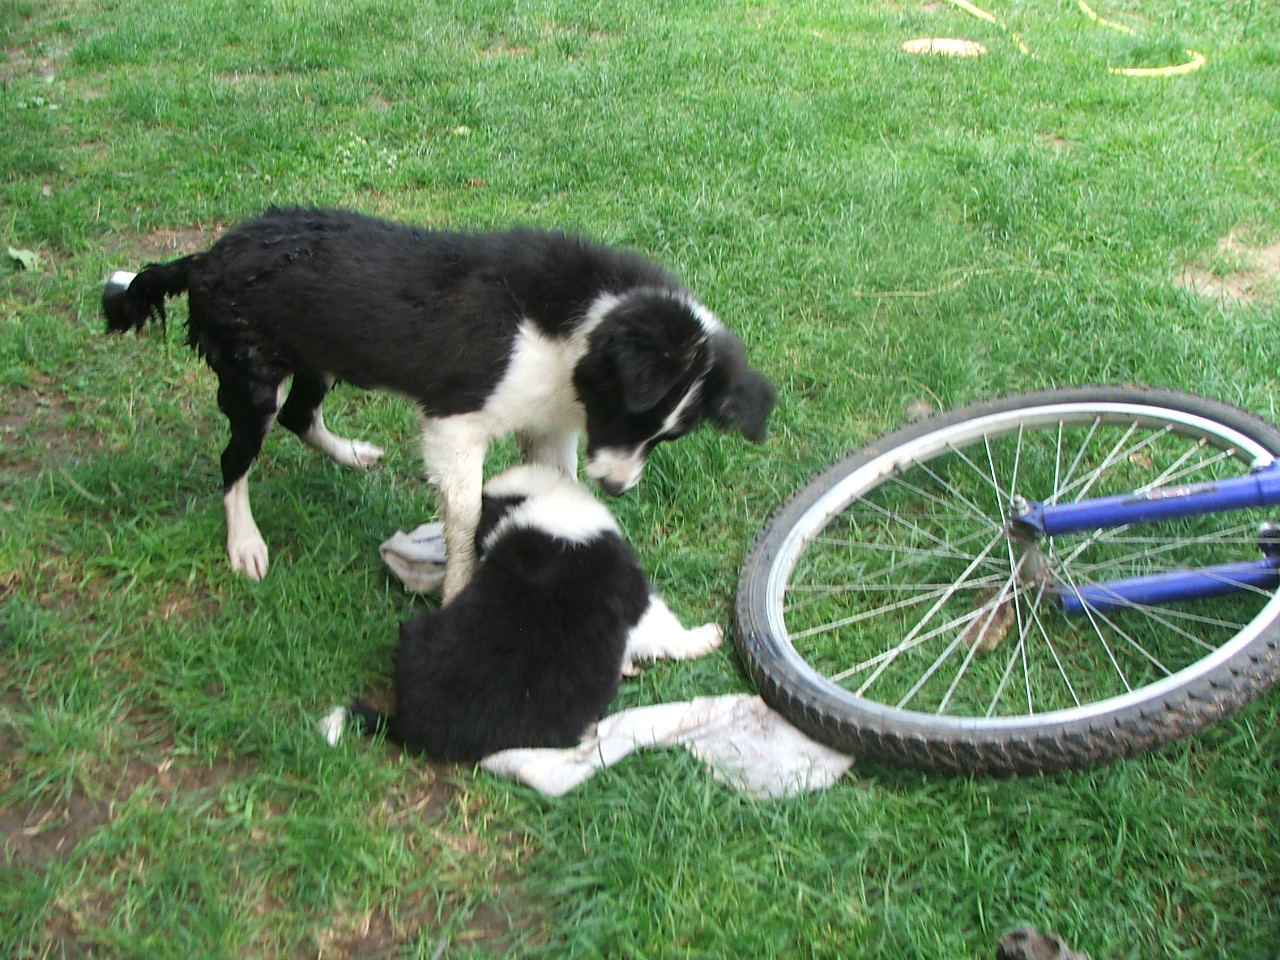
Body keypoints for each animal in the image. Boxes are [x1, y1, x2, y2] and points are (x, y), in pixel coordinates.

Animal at [99, 208, 773, 601]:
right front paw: (458, 588)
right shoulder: (455, 425)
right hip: (252, 382)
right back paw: (245, 544)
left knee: (300, 415)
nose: (618, 489)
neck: (583, 325)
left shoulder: (550, 427)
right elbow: (467, 515)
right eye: (633, 415)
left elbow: (552, 489)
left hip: (321, 355)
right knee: (235, 459)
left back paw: (350, 455)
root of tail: (204, 258)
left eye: (666, 437)